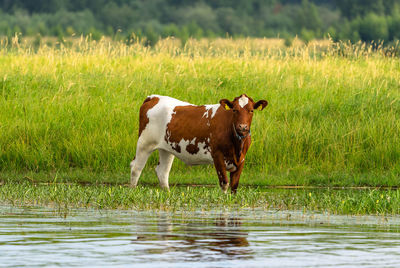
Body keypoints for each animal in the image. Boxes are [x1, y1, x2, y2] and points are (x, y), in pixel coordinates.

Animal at [130, 94, 268, 193]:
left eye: (251, 110)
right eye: (234, 110)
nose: (242, 127)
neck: (237, 145)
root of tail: (154, 97)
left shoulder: (241, 159)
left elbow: (234, 186)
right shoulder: (217, 155)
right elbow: (224, 183)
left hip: (166, 149)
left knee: (162, 172)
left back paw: (167, 194)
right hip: (145, 143)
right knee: (136, 168)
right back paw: (133, 191)